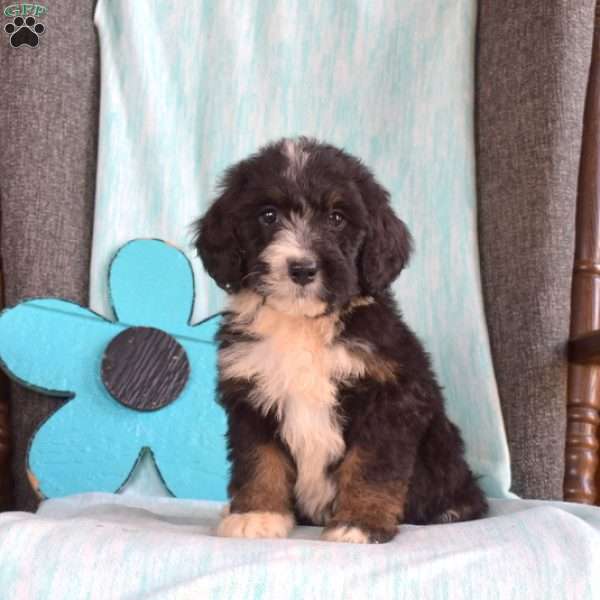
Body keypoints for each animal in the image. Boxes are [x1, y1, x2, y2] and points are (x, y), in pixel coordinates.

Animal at [197, 137, 488, 544]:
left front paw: (359, 523)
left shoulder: (389, 397)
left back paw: (452, 510)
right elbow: (259, 459)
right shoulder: (250, 396)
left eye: (337, 218)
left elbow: (370, 467)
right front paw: (256, 514)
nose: (302, 269)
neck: (303, 325)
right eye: (268, 216)